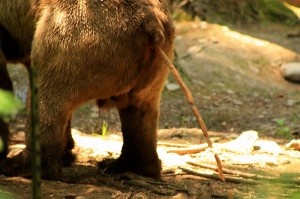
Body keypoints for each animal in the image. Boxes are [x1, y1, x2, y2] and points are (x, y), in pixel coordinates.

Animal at [0, 0, 175, 180]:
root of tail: (151, 25)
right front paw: (67, 152)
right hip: (151, 61)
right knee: (140, 111)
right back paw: (125, 165)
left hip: (75, 34)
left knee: (47, 96)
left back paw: (22, 166)